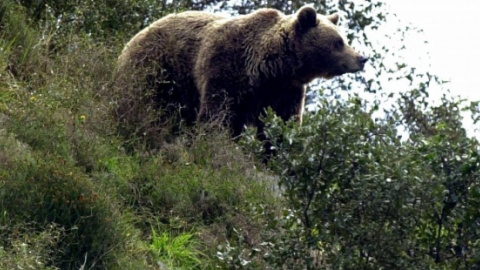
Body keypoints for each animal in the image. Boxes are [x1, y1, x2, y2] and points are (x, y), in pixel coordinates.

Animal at [116, 5, 368, 138]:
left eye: (344, 39)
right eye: (338, 42)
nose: (362, 58)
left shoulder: (286, 91)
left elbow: (283, 123)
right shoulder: (226, 67)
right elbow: (217, 112)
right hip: (158, 67)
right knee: (144, 99)